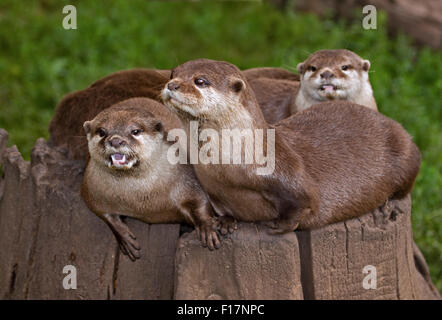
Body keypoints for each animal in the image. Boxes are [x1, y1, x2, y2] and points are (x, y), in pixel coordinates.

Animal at [81, 97, 237, 260]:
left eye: (135, 131)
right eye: (101, 131)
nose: (116, 141)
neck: (142, 199)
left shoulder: (186, 178)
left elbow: (199, 201)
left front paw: (207, 228)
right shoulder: (92, 190)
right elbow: (104, 214)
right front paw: (125, 238)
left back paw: (226, 223)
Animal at [161, 58, 422, 232]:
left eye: (200, 81)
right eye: (173, 73)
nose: (172, 85)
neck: (226, 168)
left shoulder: (288, 173)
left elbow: (307, 202)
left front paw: (278, 225)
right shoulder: (214, 190)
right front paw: (222, 223)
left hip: (408, 155)